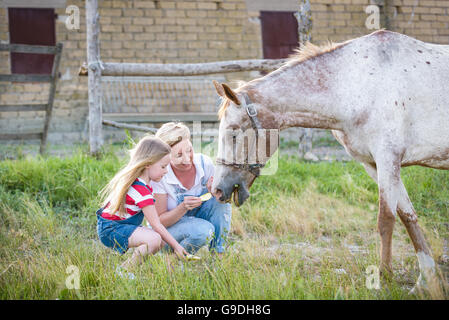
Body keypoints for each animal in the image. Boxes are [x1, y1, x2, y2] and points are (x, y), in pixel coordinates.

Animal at [210, 30, 448, 290]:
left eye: (234, 132)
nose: (216, 190)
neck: (355, 84)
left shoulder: (388, 159)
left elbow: (386, 219)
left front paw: (384, 279)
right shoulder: (374, 165)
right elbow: (408, 216)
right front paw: (426, 280)